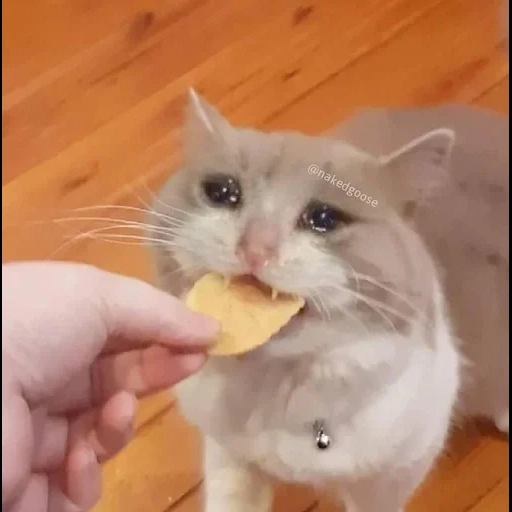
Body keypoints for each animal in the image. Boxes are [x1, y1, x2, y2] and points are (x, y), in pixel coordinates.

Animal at [148, 90, 508, 510]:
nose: (255, 247)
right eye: (223, 193)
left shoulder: (397, 471)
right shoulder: (228, 455)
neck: (276, 390)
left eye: (323, 219)